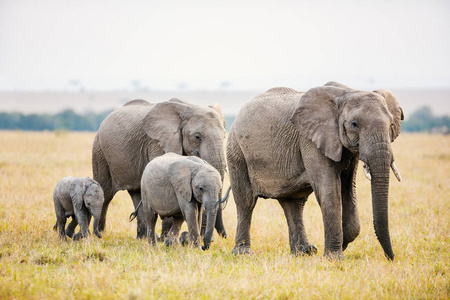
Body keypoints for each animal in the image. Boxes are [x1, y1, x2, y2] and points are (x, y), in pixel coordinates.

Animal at [94, 98, 229, 239]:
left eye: (225, 136)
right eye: (197, 137)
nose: (224, 237)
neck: (187, 108)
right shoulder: (156, 142)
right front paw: (165, 238)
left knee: (136, 193)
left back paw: (142, 237)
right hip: (100, 151)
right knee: (106, 194)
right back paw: (100, 234)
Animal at [229, 82, 404, 260]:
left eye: (391, 125)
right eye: (355, 124)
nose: (390, 258)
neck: (345, 93)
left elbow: (348, 190)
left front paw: (341, 245)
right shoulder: (309, 140)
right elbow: (329, 191)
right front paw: (334, 257)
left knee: (294, 203)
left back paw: (304, 252)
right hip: (236, 151)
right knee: (246, 201)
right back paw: (243, 253)